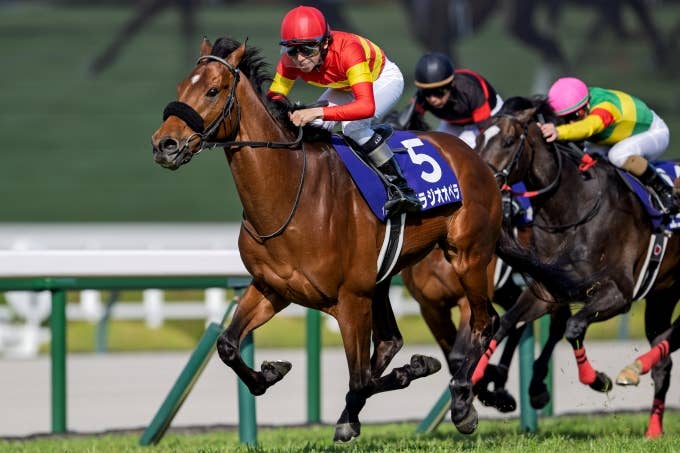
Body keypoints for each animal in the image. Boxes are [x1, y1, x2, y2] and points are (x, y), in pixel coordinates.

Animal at [150, 37, 589, 441]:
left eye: (213, 90)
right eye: (180, 87)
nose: (163, 144)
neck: (290, 195)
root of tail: (475, 159)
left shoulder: (352, 298)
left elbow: (361, 376)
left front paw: (420, 372)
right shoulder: (272, 288)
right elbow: (227, 345)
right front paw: (272, 371)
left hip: (468, 257)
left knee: (488, 323)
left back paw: (466, 402)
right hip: (387, 278)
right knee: (395, 341)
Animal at [474, 97, 680, 437]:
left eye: (507, 141)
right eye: (477, 139)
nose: (481, 184)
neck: (572, 210)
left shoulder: (618, 294)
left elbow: (573, 327)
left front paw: (597, 380)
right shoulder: (547, 291)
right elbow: (505, 324)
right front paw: (477, 383)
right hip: (663, 294)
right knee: (664, 360)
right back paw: (653, 427)